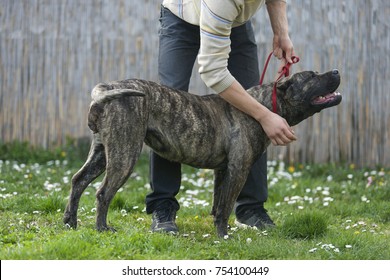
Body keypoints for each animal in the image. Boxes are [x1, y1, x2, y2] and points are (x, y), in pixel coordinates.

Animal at [62, 69, 340, 237]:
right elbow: (227, 206)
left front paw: (218, 231)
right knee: (103, 193)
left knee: (78, 182)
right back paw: (102, 228)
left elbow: (218, 204)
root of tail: (107, 87)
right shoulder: (239, 170)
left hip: (102, 153)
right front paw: (224, 235)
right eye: (312, 76)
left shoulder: (223, 171)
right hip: (124, 154)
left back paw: (70, 222)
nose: (336, 71)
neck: (262, 107)